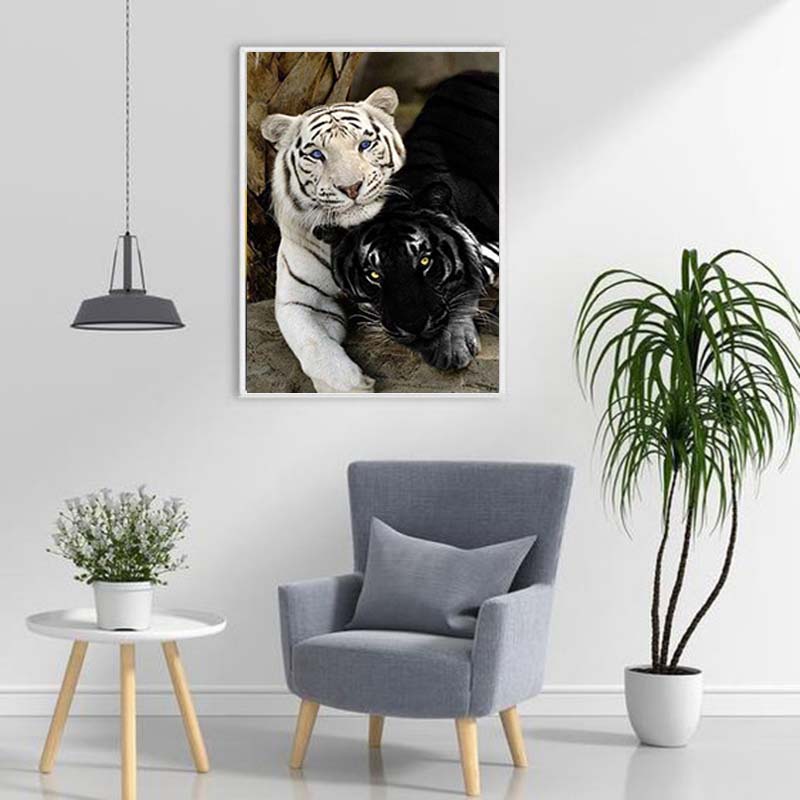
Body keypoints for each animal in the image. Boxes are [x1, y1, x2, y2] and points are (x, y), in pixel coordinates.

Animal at [260, 87, 405, 393]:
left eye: (364, 144)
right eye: (317, 154)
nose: (351, 187)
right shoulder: (301, 301)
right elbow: (313, 346)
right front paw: (351, 386)